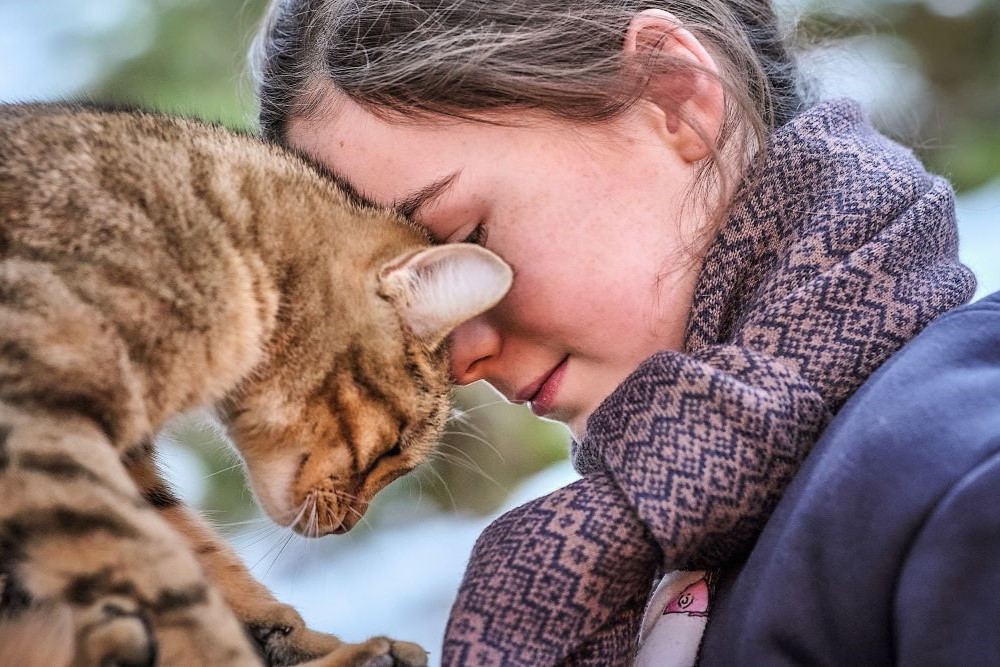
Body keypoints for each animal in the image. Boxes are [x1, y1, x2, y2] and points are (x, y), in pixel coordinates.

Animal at [0, 102, 512, 664]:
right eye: (394, 447)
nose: (347, 525)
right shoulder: (42, 420)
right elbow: (164, 576)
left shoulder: (127, 461)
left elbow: (210, 567)